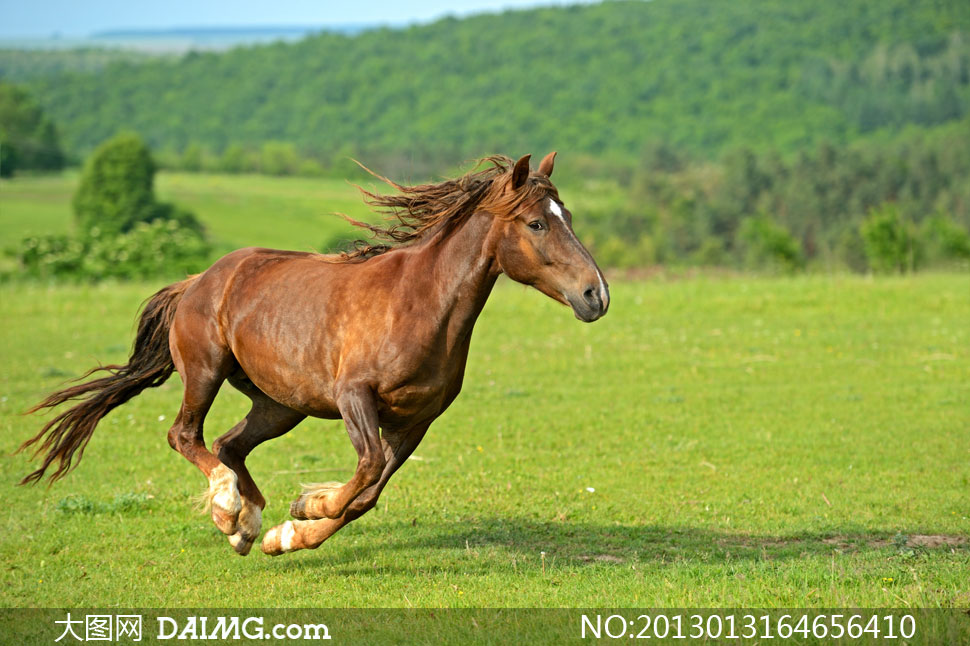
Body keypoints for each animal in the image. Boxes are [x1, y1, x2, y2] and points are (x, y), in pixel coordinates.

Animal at [20, 153, 604, 556]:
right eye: (537, 223)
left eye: (569, 215)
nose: (596, 295)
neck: (420, 303)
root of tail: (198, 280)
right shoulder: (354, 397)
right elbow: (365, 471)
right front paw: (305, 507)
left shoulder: (416, 421)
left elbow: (368, 494)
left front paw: (287, 532)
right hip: (206, 372)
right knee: (185, 435)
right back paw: (228, 509)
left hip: (281, 405)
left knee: (230, 445)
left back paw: (247, 526)